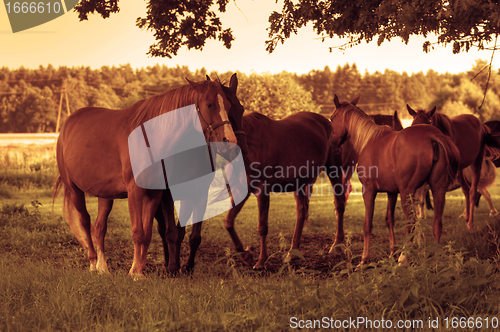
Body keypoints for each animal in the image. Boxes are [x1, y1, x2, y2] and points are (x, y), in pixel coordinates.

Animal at [52, 77, 238, 278]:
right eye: (209, 104)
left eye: (229, 105)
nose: (230, 142)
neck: (149, 139)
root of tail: (67, 124)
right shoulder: (135, 192)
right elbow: (137, 232)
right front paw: (135, 271)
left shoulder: (155, 193)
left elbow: (147, 233)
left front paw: (139, 270)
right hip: (75, 191)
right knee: (85, 222)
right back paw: (93, 263)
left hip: (105, 195)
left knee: (99, 227)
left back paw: (103, 267)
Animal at [330, 95, 458, 264]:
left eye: (332, 118)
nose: (332, 144)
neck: (369, 139)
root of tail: (431, 135)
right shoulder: (391, 193)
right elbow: (389, 220)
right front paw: (392, 253)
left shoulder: (369, 191)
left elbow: (367, 225)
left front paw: (364, 260)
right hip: (438, 190)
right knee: (437, 224)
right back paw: (435, 260)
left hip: (407, 193)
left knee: (412, 224)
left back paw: (403, 258)